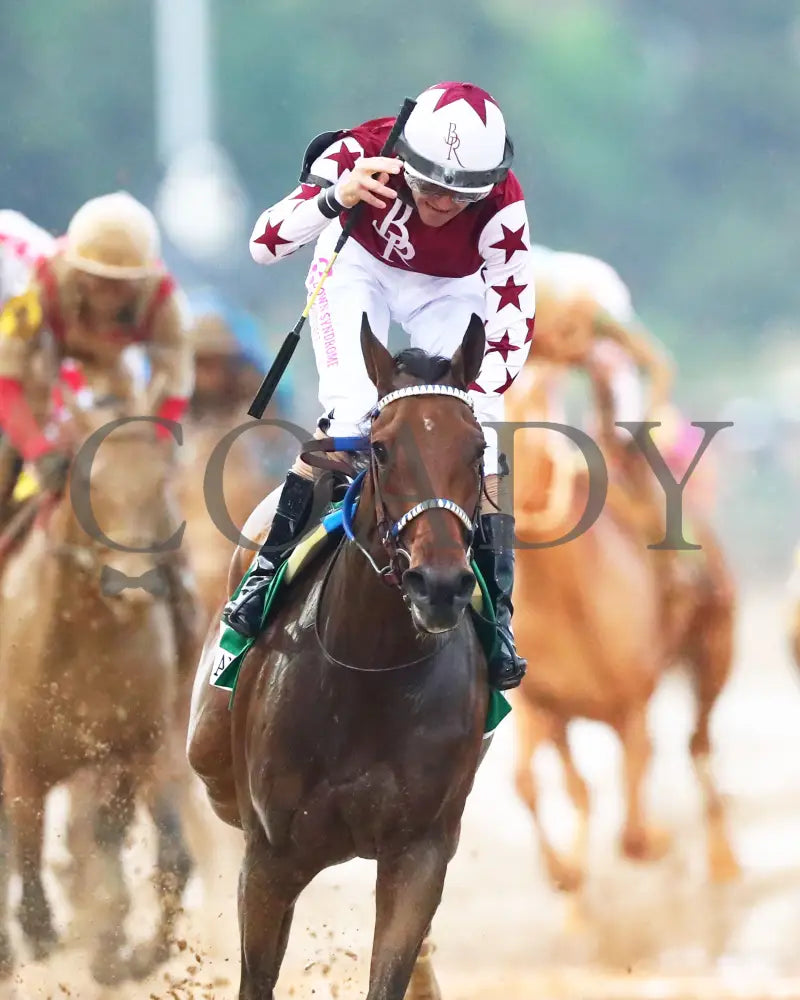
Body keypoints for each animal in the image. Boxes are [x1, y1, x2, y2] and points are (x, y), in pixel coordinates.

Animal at [0, 386, 194, 980]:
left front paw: (118, 948)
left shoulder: (132, 750)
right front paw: (39, 931)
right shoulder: (21, 761)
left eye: (160, 480)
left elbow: (133, 846)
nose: (134, 584)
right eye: (87, 480)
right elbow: (26, 846)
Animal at [506, 364, 736, 896]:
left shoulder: (632, 700)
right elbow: (534, 784)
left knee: (699, 744)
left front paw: (658, 841)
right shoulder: (540, 705)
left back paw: (723, 864)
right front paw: (566, 875)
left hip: (716, 648)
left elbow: (633, 830)